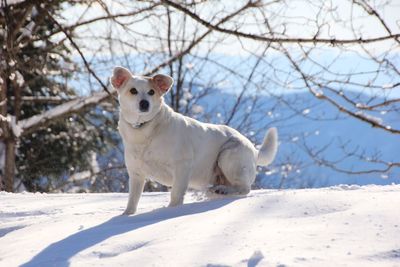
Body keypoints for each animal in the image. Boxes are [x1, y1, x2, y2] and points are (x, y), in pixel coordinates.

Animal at [110, 67, 278, 216]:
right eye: (133, 91)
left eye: (151, 92)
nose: (145, 103)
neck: (144, 129)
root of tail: (255, 150)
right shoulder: (136, 174)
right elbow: (133, 199)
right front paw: (126, 215)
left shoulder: (182, 165)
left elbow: (176, 194)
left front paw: (171, 210)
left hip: (228, 156)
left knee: (244, 188)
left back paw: (223, 191)